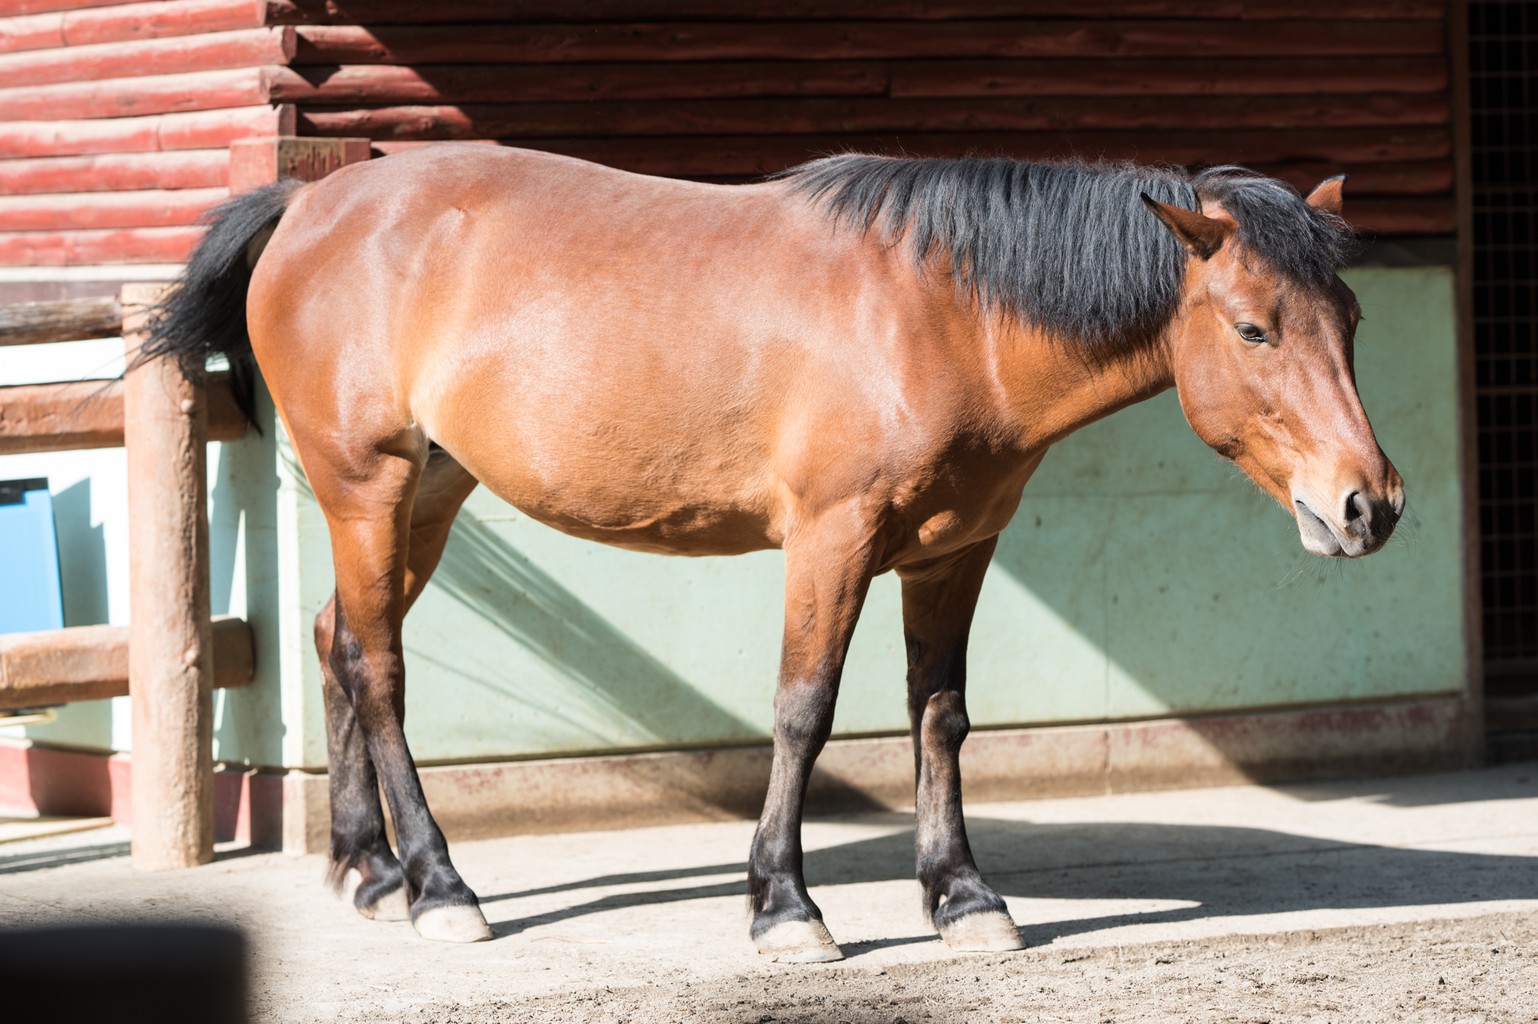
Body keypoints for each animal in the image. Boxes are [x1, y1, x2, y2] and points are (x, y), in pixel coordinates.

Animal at [143, 144, 1403, 962]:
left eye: (1348, 320)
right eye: (1251, 327)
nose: (1368, 505)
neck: (944, 311)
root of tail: (309, 202)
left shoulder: (954, 551)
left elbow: (938, 718)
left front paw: (961, 895)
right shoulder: (830, 539)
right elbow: (803, 710)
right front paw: (783, 905)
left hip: (430, 495)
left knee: (338, 640)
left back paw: (367, 866)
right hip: (368, 485)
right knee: (380, 670)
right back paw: (440, 885)